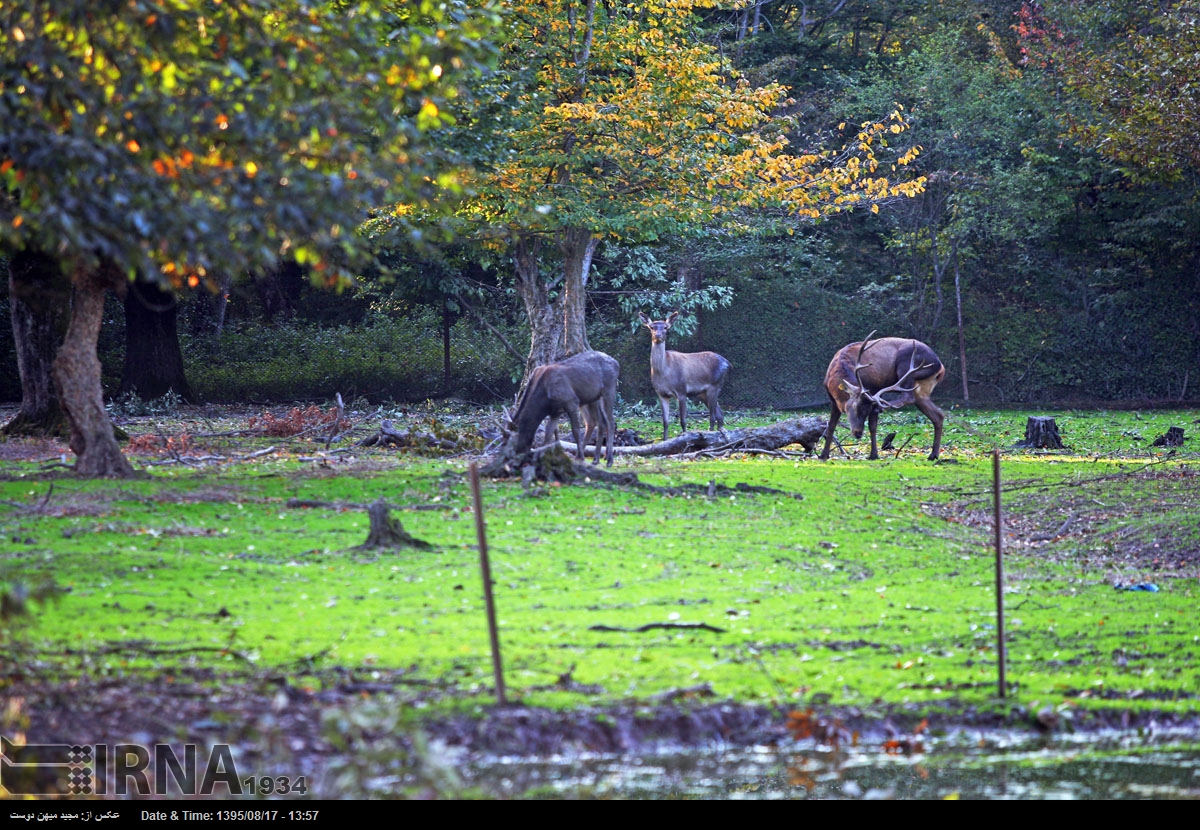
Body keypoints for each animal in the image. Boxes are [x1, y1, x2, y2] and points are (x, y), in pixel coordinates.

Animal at [638, 311, 729, 441]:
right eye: (651, 327)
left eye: (666, 327)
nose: (658, 336)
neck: (664, 372)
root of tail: (727, 363)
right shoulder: (661, 393)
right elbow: (665, 422)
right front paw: (665, 440)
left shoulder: (681, 390)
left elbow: (683, 421)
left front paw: (685, 437)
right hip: (703, 393)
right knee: (720, 414)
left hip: (715, 385)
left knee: (712, 417)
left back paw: (711, 435)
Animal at [816, 331, 945, 460]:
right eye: (854, 407)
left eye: (866, 410)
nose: (858, 433)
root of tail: (940, 366)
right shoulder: (833, 401)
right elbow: (831, 426)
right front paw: (823, 454)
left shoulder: (873, 389)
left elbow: (872, 426)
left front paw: (874, 454)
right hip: (922, 391)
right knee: (938, 415)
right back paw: (933, 454)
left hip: (906, 367)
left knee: (908, 396)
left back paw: (882, 406)